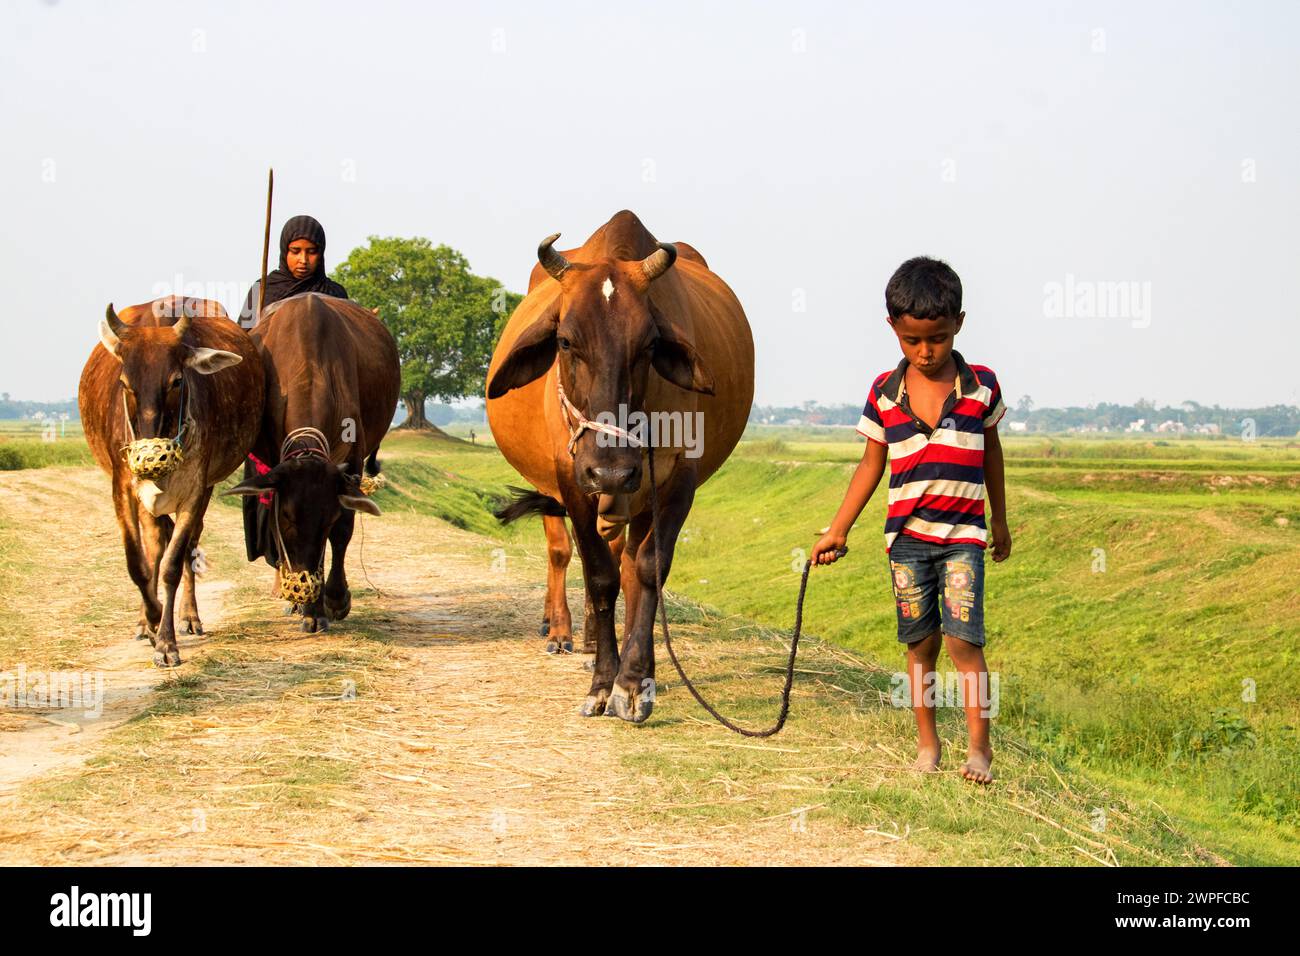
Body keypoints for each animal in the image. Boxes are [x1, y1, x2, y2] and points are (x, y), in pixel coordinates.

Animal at [78, 297, 263, 665]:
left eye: (177, 381)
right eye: (124, 382)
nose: (149, 457)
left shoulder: (195, 490)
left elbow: (173, 564)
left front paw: (166, 641)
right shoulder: (123, 489)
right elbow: (139, 564)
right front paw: (150, 620)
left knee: (187, 546)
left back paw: (189, 616)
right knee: (154, 548)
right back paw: (145, 620)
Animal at [223, 291, 397, 634]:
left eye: (328, 518)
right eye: (287, 516)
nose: (303, 584)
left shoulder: (352, 463)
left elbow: (342, 532)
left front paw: (333, 601)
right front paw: (308, 606)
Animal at [486, 208, 754, 717]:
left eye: (648, 344)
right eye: (565, 342)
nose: (610, 470)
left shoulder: (676, 478)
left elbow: (647, 570)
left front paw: (631, 683)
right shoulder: (573, 480)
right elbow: (598, 575)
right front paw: (600, 683)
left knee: (630, 564)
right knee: (563, 550)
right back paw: (560, 630)